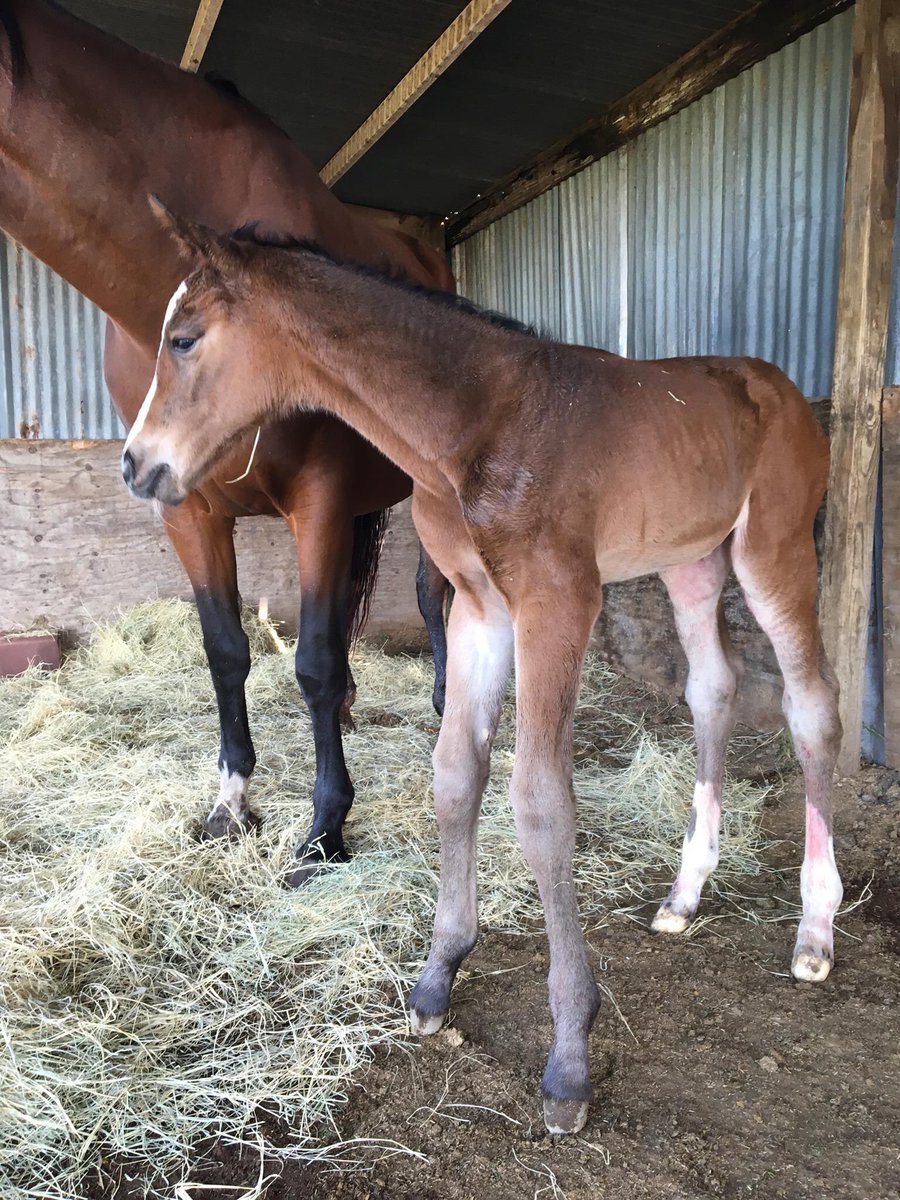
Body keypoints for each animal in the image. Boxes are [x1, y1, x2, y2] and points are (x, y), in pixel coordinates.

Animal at [0, 0, 452, 880]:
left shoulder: (320, 497)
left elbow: (312, 661)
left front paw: (325, 829)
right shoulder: (189, 507)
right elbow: (227, 651)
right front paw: (232, 803)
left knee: (434, 597)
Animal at [123, 206, 843, 1135]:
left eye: (184, 338)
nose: (135, 464)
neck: (478, 425)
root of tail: (784, 390)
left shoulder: (557, 601)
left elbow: (539, 803)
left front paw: (569, 1056)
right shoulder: (475, 610)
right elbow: (456, 776)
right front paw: (438, 975)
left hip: (775, 551)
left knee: (813, 705)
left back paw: (815, 932)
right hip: (692, 562)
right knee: (712, 691)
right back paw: (685, 895)